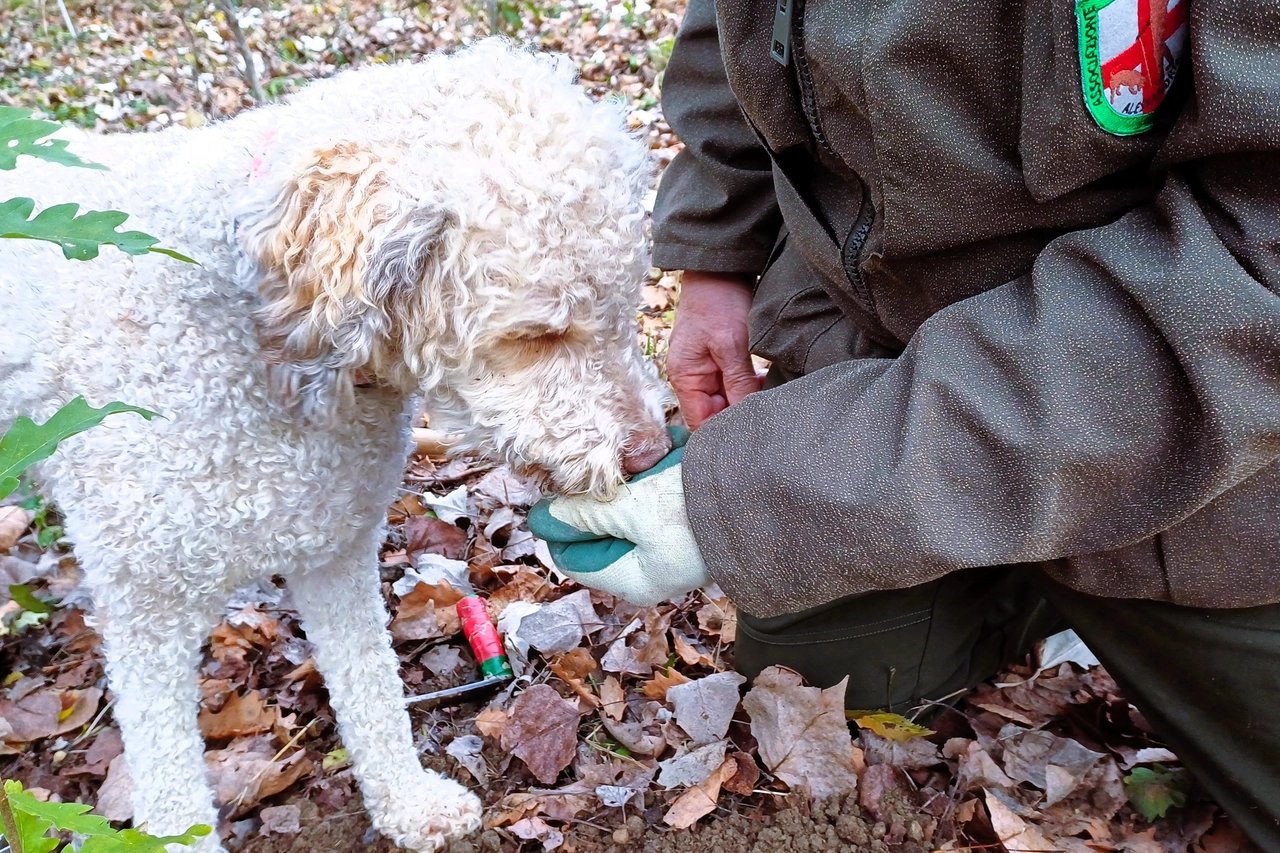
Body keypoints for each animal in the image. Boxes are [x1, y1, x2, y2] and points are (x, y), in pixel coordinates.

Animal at [0, 39, 675, 850]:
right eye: (538, 334)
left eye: (627, 305)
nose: (649, 452)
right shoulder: (145, 606)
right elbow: (170, 792)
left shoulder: (334, 549)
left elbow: (373, 690)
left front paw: (407, 803)